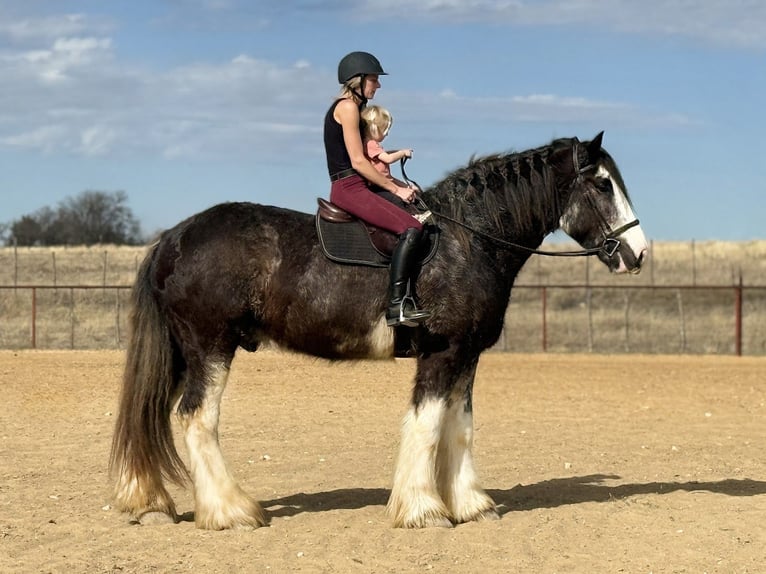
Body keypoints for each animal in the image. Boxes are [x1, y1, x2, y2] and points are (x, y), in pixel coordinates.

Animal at [109, 131, 648, 530]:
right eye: (603, 185)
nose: (638, 253)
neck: (466, 240)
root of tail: (173, 238)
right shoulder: (441, 352)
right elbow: (427, 425)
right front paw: (423, 509)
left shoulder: (466, 354)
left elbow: (460, 428)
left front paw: (471, 504)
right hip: (210, 348)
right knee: (197, 419)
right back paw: (230, 511)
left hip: (183, 353)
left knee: (154, 415)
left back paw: (150, 505)